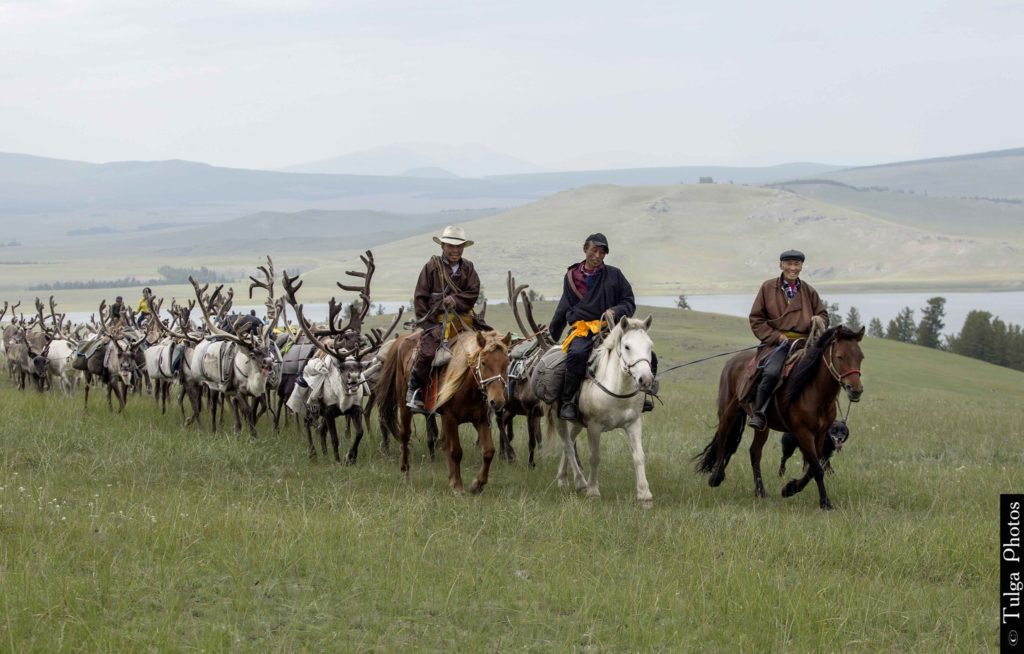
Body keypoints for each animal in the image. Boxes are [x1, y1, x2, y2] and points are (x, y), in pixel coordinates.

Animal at [372, 329, 512, 493]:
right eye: (483, 363)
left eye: (506, 363)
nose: (497, 401)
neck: (467, 388)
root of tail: (402, 340)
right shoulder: (451, 418)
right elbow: (456, 451)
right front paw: (458, 486)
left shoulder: (481, 419)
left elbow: (489, 451)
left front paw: (477, 484)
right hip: (404, 407)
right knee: (405, 436)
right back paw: (405, 472)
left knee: (444, 442)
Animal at [552, 317, 655, 507]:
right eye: (627, 346)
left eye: (649, 346)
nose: (646, 380)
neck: (618, 391)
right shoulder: (594, 426)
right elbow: (595, 457)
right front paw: (593, 491)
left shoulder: (634, 423)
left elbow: (639, 456)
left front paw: (644, 494)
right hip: (558, 417)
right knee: (567, 444)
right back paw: (580, 482)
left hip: (578, 422)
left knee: (570, 440)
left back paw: (563, 477)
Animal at [696, 327, 864, 511]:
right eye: (840, 356)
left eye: (860, 357)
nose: (855, 390)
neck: (814, 391)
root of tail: (732, 361)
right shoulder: (803, 432)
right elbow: (816, 468)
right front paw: (825, 502)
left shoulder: (820, 434)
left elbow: (813, 468)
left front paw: (790, 489)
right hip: (728, 411)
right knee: (723, 438)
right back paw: (716, 477)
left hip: (763, 426)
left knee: (754, 452)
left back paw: (761, 491)